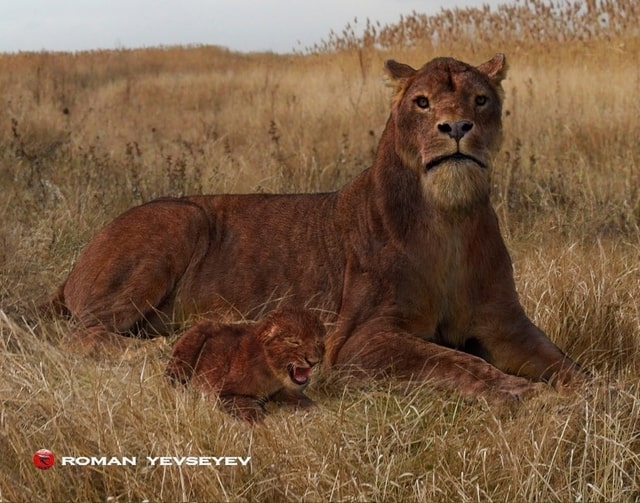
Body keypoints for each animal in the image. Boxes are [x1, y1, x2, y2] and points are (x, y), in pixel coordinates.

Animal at [48, 53, 583, 402]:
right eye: (423, 103)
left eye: (481, 100)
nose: (455, 128)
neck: (450, 220)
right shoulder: (355, 341)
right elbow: (452, 361)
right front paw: (522, 393)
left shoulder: (505, 323)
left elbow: (564, 361)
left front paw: (592, 393)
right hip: (181, 218)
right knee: (82, 336)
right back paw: (163, 347)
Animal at [165, 307, 325, 421]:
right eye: (295, 342)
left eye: (318, 341)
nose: (314, 361)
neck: (271, 373)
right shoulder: (221, 393)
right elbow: (252, 411)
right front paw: (270, 423)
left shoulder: (281, 390)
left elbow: (301, 399)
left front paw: (318, 410)